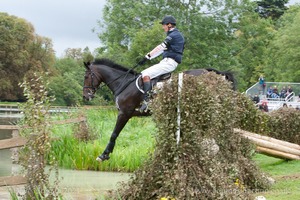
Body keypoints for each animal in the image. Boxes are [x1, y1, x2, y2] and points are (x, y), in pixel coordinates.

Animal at [82, 57, 237, 161]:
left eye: (86, 76)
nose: (86, 96)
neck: (124, 83)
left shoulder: (124, 113)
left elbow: (114, 134)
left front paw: (104, 155)